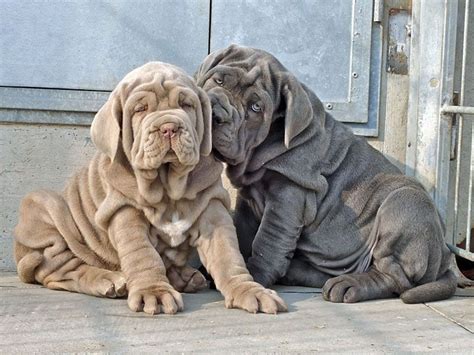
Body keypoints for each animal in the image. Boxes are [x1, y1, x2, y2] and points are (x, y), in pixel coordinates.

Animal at [194, 44, 458, 304]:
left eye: (255, 107)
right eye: (218, 80)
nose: (216, 114)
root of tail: (445, 258)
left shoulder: (288, 196)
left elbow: (266, 241)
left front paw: (255, 276)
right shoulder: (249, 199)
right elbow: (242, 233)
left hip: (404, 204)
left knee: (393, 277)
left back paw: (348, 285)